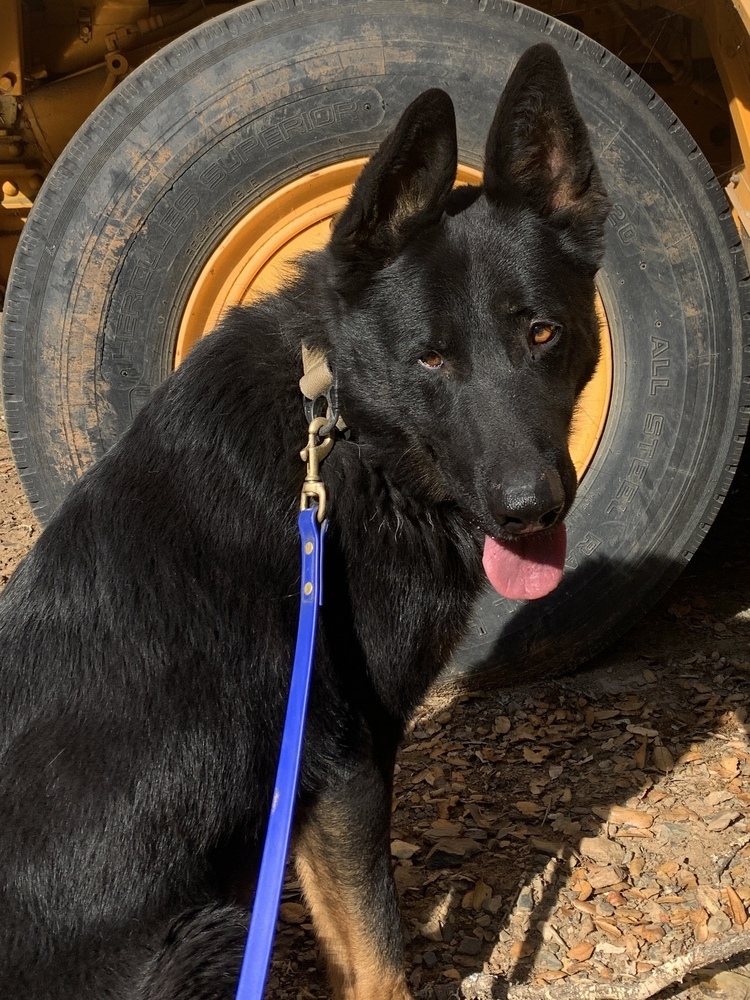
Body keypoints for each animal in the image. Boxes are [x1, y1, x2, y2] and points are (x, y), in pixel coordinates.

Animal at [0, 47, 608, 1000]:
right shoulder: (345, 763)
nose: (530, 508)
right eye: (429, 359)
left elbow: (347, 947)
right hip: (202, 934)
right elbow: (381, 954)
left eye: (543, 333)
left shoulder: (320, 788)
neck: (342, 431)